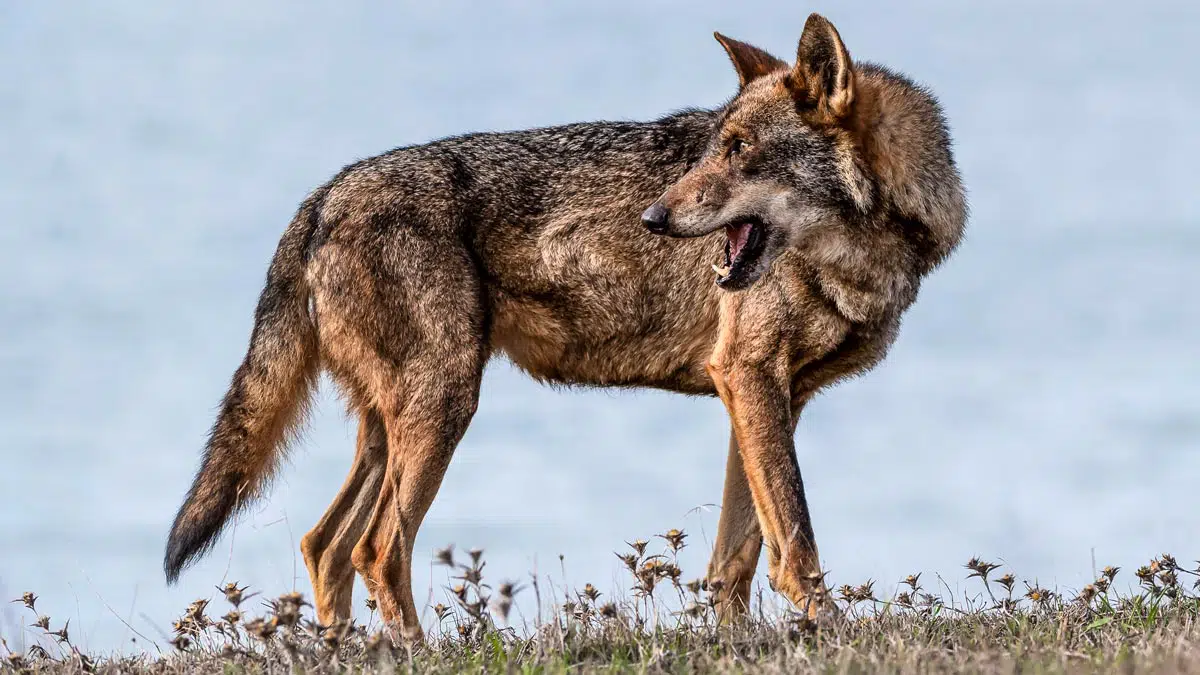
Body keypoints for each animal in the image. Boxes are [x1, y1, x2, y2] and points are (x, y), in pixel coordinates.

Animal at [164, 14, 966, 640]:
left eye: (738, 150)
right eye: (718, 145)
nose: (654, 217)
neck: (867, 258)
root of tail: (326, 192)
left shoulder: (768, 394)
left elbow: (735, 556)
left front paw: (741, 644)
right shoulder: (748, 377)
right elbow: (794, 540)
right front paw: (826, 630)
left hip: (394, 429)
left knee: (324, 544)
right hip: (442, 412)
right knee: (376, 550)